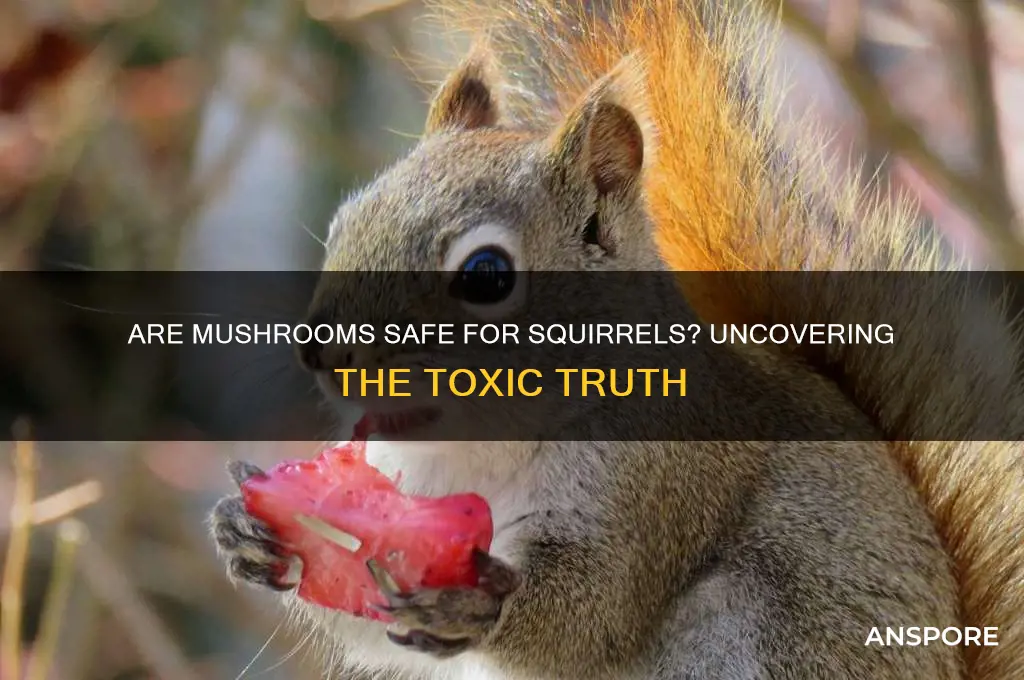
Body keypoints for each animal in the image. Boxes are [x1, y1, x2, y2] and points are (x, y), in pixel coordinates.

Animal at [210, 1, 1024, 679]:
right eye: (347, 220)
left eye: (485, 276)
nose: (322, 352)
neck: (479, 446)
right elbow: (359, 600)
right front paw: (251, 534)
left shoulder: (660, 480)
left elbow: (594, 614)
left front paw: (480, 605)